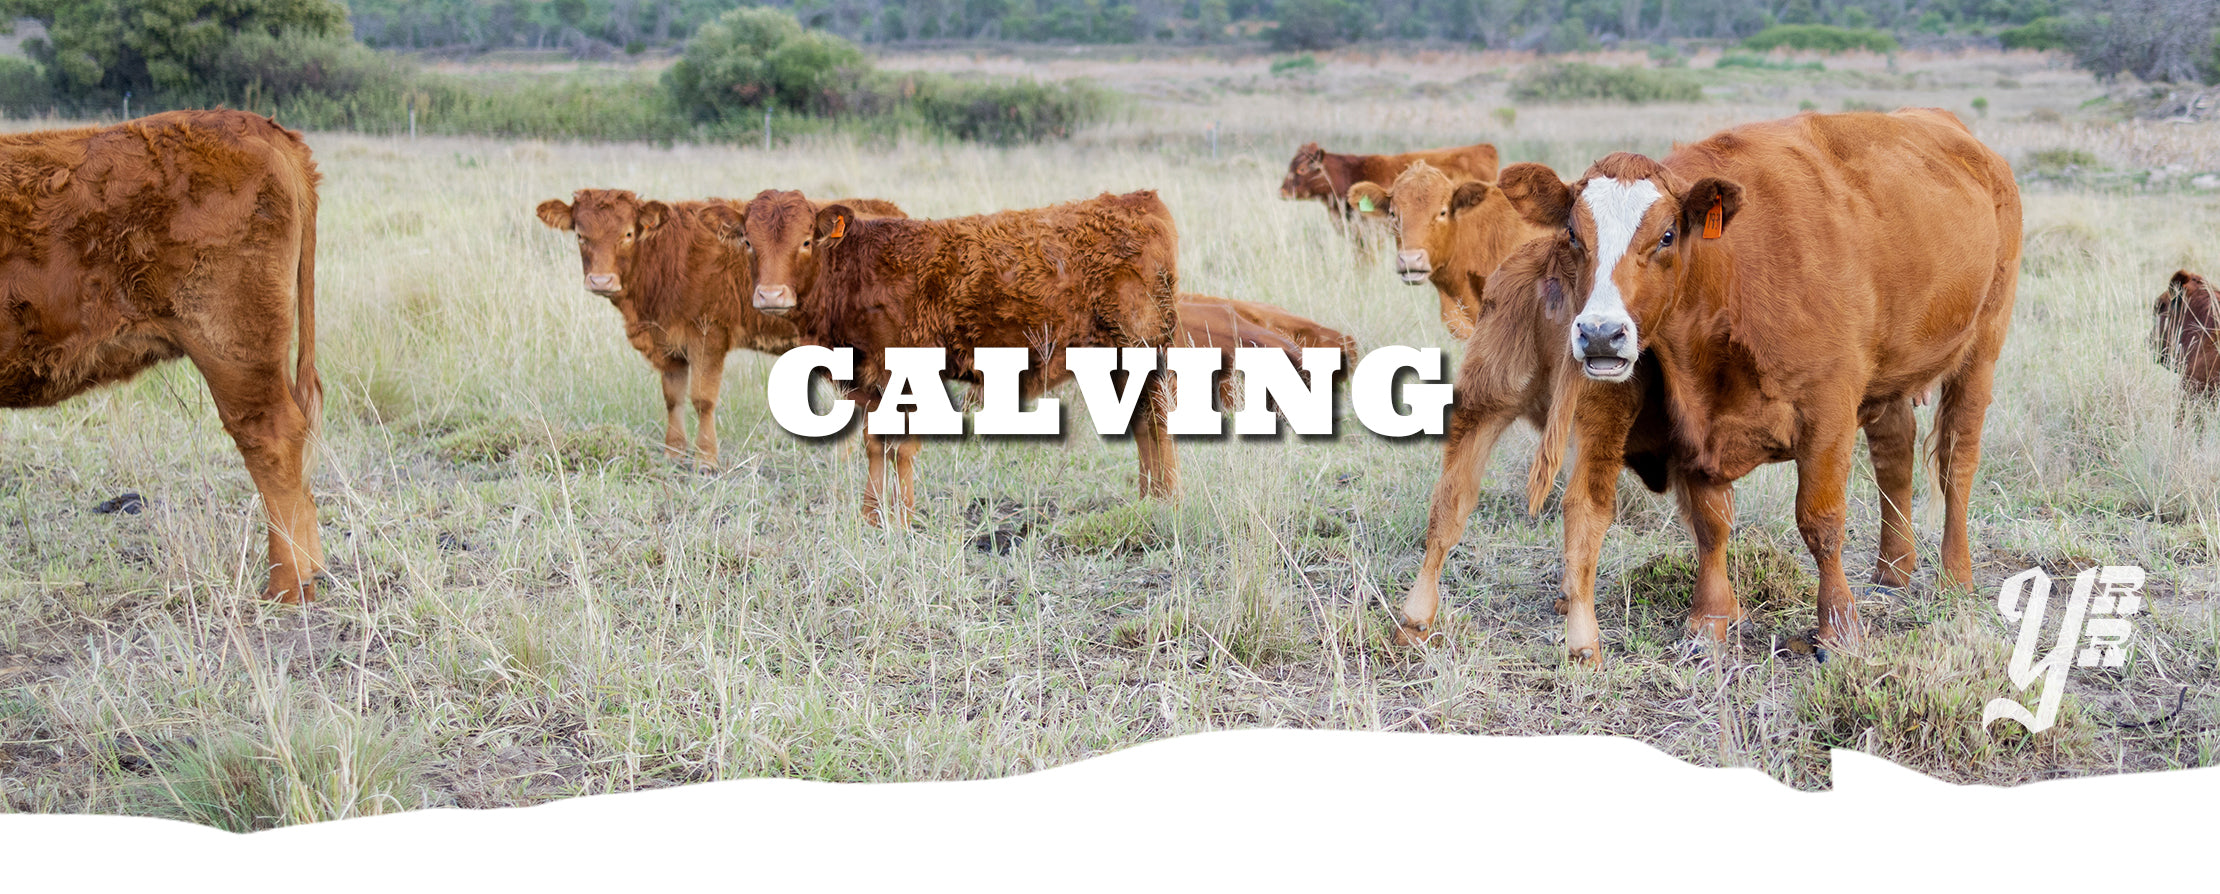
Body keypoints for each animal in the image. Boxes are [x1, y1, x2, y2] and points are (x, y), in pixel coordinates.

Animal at [534, 189, 904, 466]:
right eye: (580, 236)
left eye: (627, 234)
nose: (601, 280)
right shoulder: (668, 342)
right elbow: (673, 397)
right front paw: (673, 453)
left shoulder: (708, 335)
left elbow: (702, 398)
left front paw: (706, 460)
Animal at [737, 188, 1181, 525]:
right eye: (748, 242)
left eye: (805, 241)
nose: (771, 295)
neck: (857, 271)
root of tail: (1135, 200)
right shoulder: (869, 382)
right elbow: (875, 445)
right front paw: (871, 517)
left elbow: (903, 447)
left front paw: (904, 519)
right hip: (1119, 360)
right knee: (1143, 422)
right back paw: (1148, 498)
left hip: (1144, 346)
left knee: (1158, 418)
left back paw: (1168, 498)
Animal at [1395, 237, 1921, 651]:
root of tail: (1554, 259)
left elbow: (1707, 521)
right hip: (1598, 418)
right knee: (1584, 507)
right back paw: (1584, 646)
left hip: (1483, 404)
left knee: (1451, 501)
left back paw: (1414, 623)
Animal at [1493, 108, 2020, 663]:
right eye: (1574, 235)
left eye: (1666, 235)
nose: (1599, 332)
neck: (1730, 278)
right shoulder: (1695, 423)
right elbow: (1710, 524)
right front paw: (1708, 622)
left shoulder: (1828, 413)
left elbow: (1820, 521)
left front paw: (1839, 627)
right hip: (1888, 374)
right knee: (1895, 451)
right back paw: (1892, 572)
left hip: (1982, 346)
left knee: (1958, 461)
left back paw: (1954, 575)